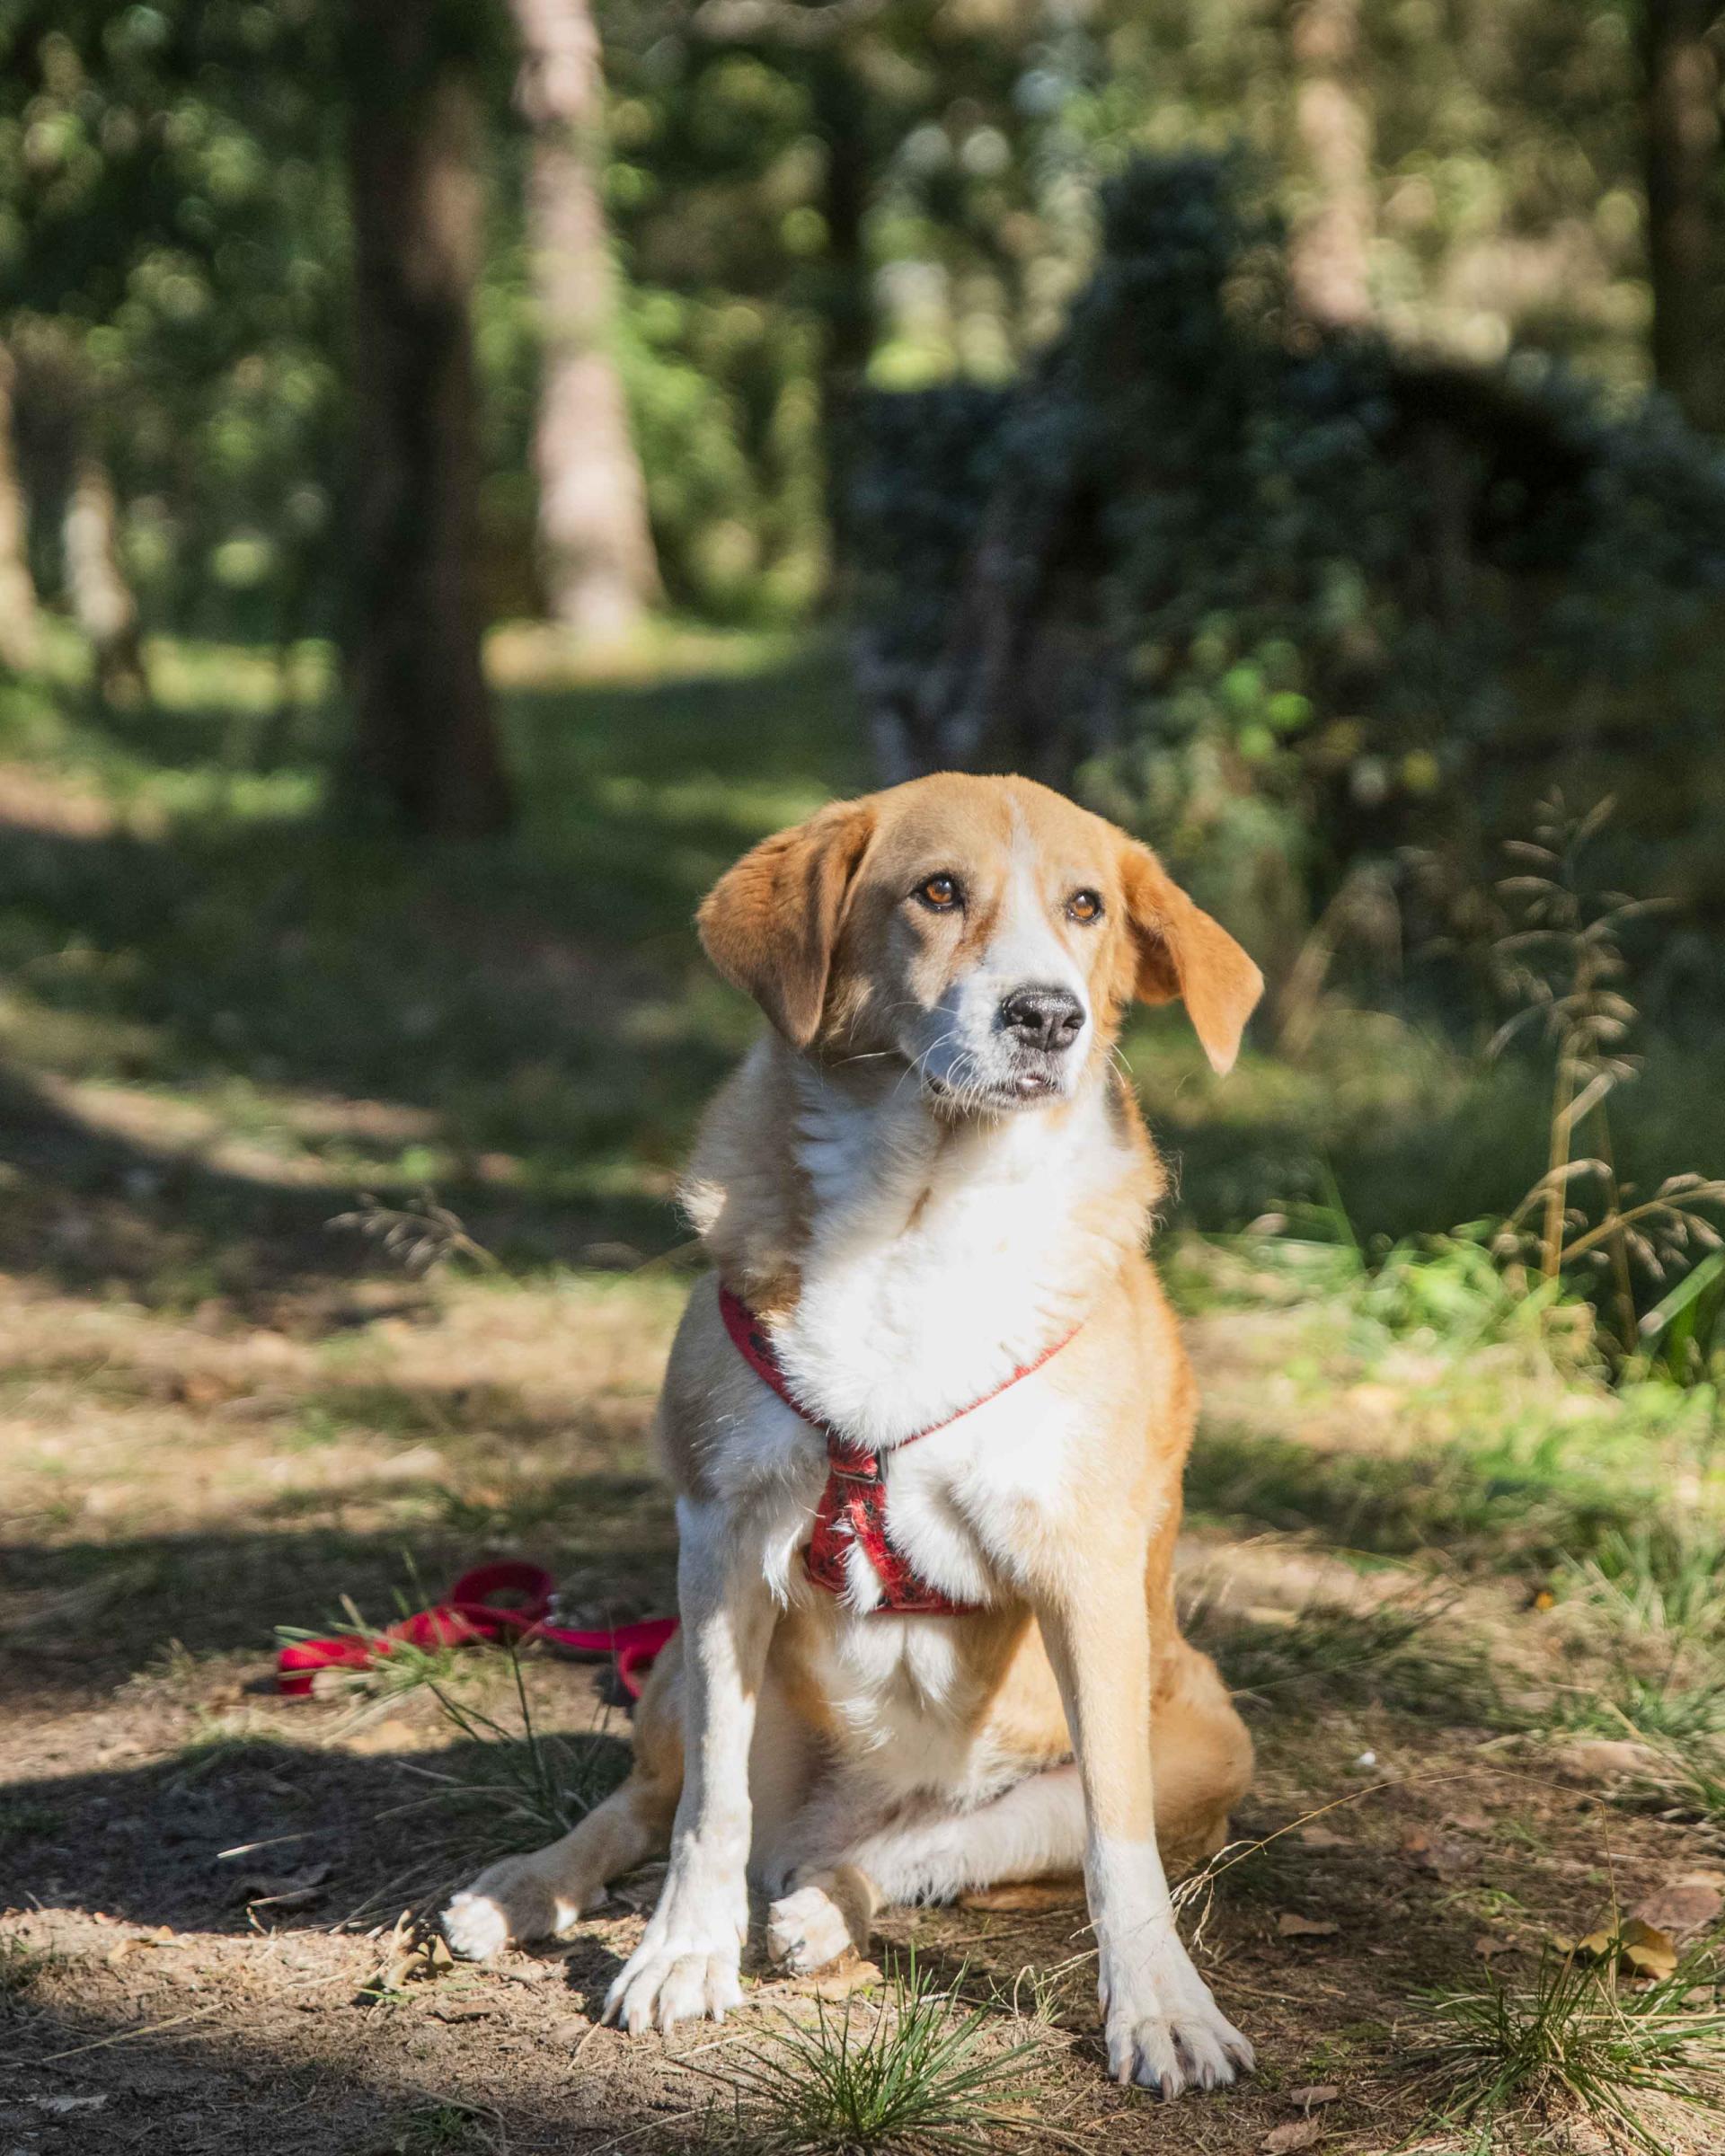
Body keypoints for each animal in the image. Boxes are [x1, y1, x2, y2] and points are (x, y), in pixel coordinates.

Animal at [444, 772, 1268, 2087]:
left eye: (1087, 906)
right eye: (937, 892)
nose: (1050, 1016)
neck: (924, 1206)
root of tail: (841, 1815)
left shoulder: (1084, 1571)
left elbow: (1116, 1842)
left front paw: (1160, 2009)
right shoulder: (721, 1538)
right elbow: (707, 1809)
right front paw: (683, 1956)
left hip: (1200, 1737)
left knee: (937, 1851)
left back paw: (829, 1907)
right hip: (671, 1666)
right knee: (652, 1801)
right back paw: (528, 1889)